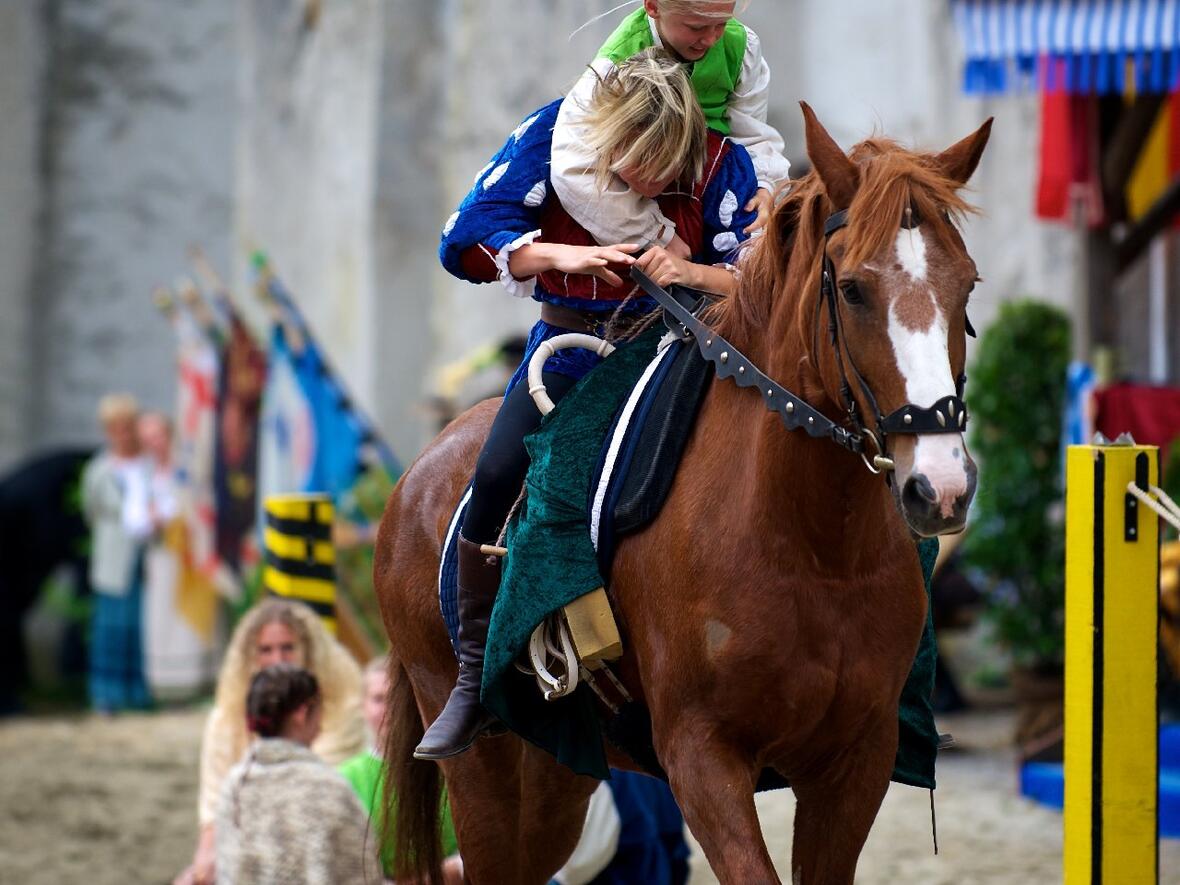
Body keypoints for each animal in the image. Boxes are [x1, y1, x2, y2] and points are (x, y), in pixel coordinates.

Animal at [372, 105, 991, 885]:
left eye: (966, 285)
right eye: (852, 288)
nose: (939, 486)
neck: (813, 547)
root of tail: (414, 478)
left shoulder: (855, 760)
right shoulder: (703, 755)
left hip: (554, 776)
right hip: (484, 768)